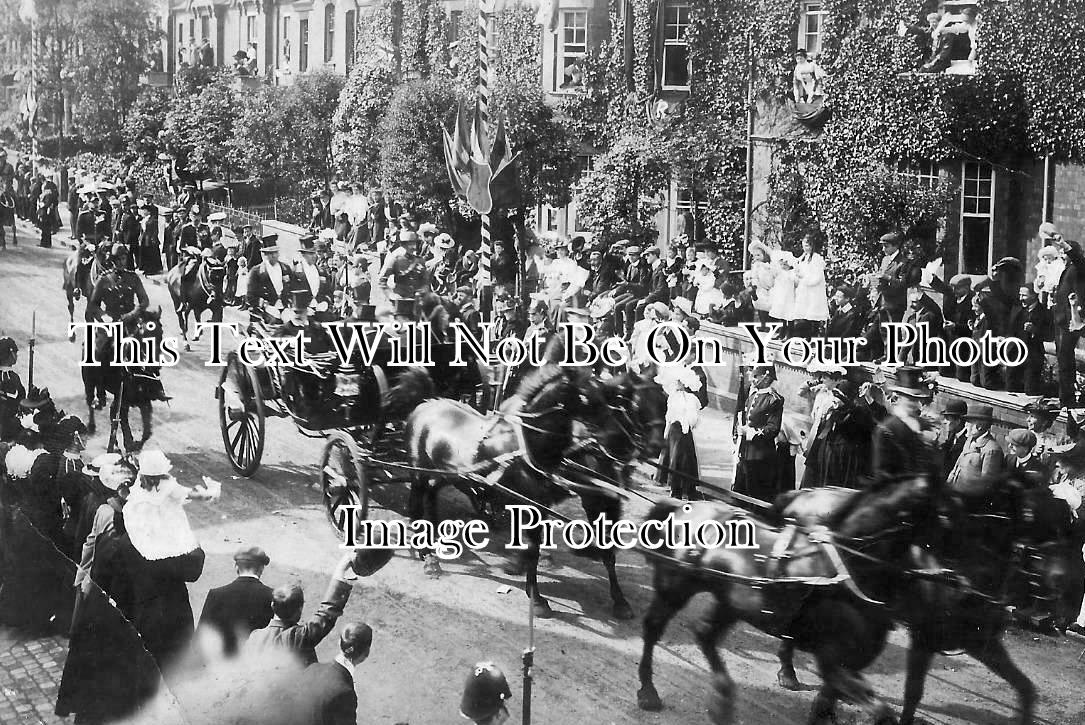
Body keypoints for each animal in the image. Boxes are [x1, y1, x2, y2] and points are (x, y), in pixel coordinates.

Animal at [81, 308, 166, 453]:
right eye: (143, 334)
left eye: (161, 332)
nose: (155, 365)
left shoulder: (143, 400)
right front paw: (129, 443)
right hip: (89, 382)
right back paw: (92, 425)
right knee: (91, 401)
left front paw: (134, 444)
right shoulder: (122, 398)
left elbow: (147, 431)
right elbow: (122, 419)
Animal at [403, 364, 664, 620]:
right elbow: (534, 551)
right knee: (416, 504)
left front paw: (619, 600)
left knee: (432, 494)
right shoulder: (553, 502)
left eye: (663, 400)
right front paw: (537, 598)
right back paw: (427, 556)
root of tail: (427, 402)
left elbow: (603, 548)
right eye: (587, 398)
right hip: (419, 470)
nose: (654, 447)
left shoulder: (583, 500)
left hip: (450, 473)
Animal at [633, 475, 941, 724]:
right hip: (674, 587)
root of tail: (683, 507)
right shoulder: (831, 660)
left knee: (704, 633)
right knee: (654, 627)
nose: (941, 579)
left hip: (730, 602)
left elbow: (828, 706)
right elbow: (880, 711)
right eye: (946, 516)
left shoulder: (842, 666)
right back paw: (648, 691)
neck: (845, 568)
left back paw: (723, 699)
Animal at [776, 475, 1071, 724]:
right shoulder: (923, 639)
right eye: (1034, 514)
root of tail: (806, 493)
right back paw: (788, 673)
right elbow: (913, 693)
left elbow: (1026, 689)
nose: (1061, 580)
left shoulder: (980, 643)